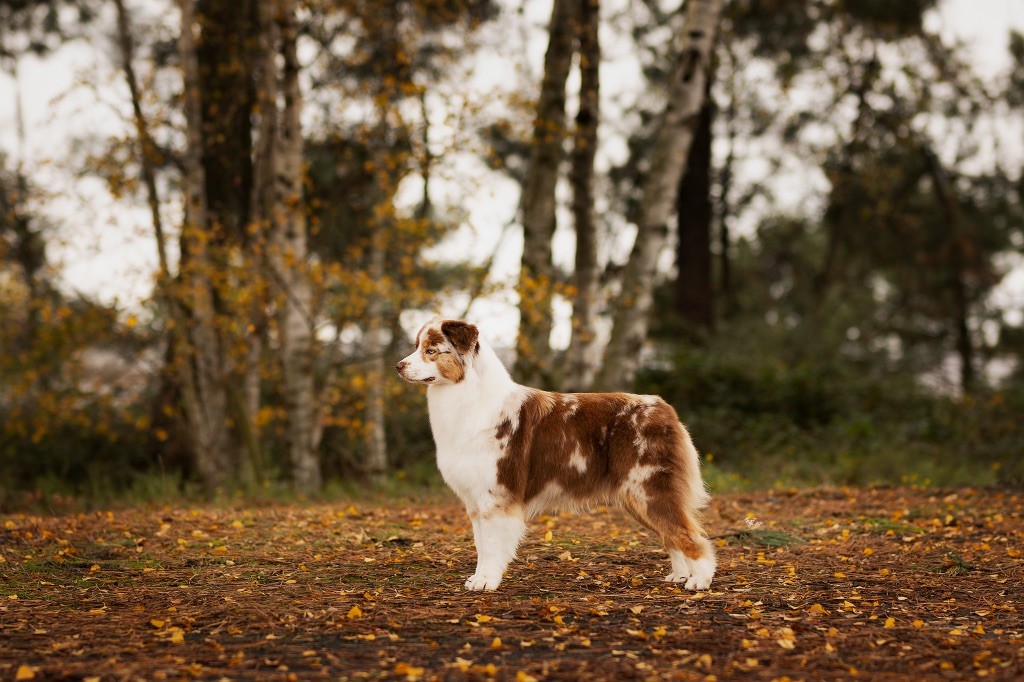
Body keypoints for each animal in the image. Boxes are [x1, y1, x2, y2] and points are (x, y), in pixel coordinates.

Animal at [395, 315, 716, 585]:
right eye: (415, 347)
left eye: (431, 350)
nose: (399, 366)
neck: (468, 397)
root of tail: (664, 408)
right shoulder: (475, 498)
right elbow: (482, 544)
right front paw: (480, 578)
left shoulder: (496, 494)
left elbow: (492, 544)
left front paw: (486, 582)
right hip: (636, 496)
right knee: (672, 535)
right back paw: (680, 576)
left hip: (649, 488)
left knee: (690, 535)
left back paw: (699, 582)